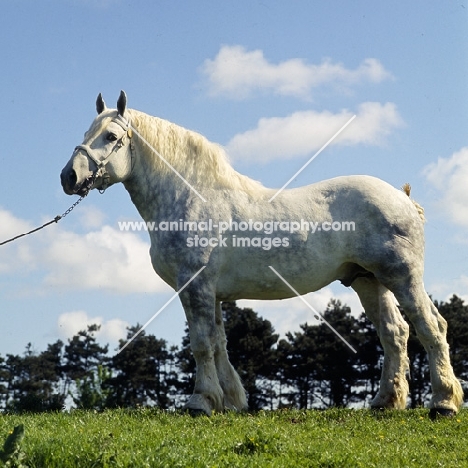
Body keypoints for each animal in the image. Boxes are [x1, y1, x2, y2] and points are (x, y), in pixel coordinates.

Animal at [60, 91, 462, 416]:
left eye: (111, 137)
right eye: (86, 134)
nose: (68, 177)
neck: (190, 197)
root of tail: (402, 196)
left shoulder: (195, 287)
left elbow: (201, 344)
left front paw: (200, 402)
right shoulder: (210, 293)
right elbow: (218, 344)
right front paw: (229, 401)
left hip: (402, 277)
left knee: (431, 326)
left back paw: (444, 403)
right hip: (369, 281)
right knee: (395, 333)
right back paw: (385, 402)